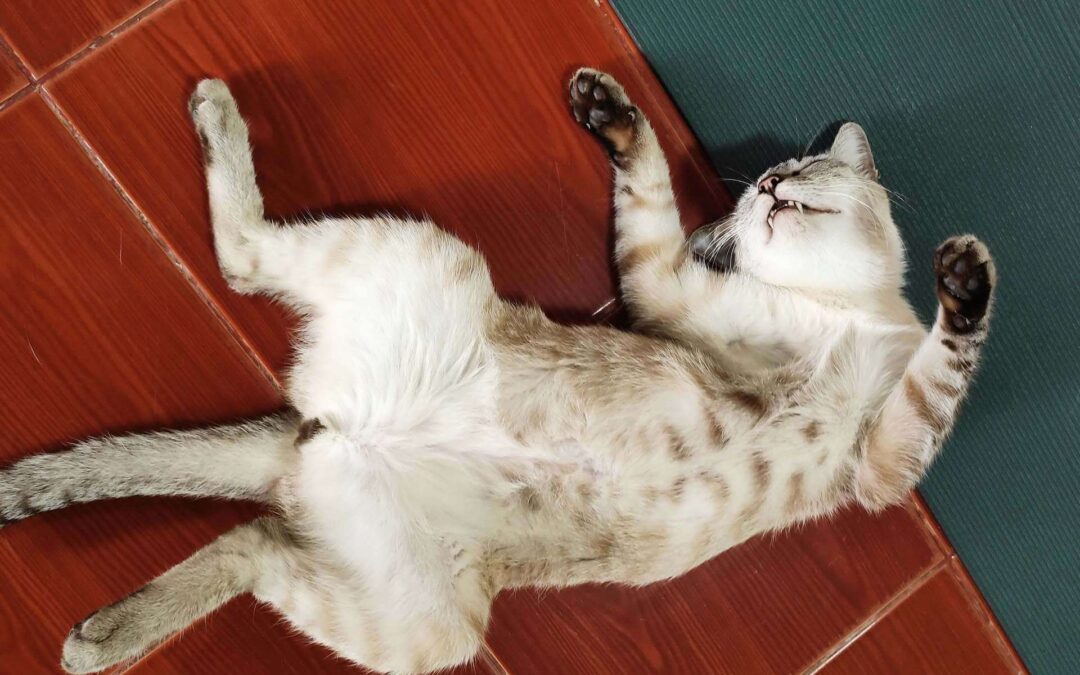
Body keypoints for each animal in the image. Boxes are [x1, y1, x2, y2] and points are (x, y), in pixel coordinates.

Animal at [0, 68, 995, 674]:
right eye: (765, 182)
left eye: (801, 167)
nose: (769, 188)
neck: (844, 312)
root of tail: (332, 429)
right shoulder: (672, 296)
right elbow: (942, 368)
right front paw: (966, 278)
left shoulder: (878, 464)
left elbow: (931, 378)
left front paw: (960, 282)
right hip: (418, 256)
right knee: (242, 261)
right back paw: (215, 107)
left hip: (425, 624)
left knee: (254, 538)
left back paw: (99, 635)